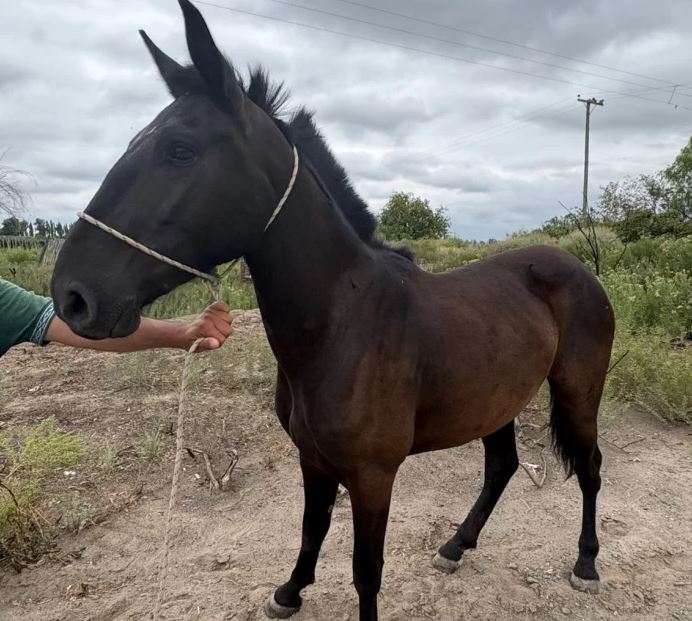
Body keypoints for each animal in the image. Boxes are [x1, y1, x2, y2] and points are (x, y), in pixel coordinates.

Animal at [51, 2, 615, 619]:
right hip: (496, 402)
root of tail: (575, 266)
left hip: (578, 391)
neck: (344, 325)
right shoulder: (313, 459)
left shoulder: (372, 476)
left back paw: (586, 565)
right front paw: (289, 592)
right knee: (502, 467)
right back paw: (456, 546)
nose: (73, 297)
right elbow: (312, 529)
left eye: (179, 149)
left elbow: (366, 572)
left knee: (589, 467)